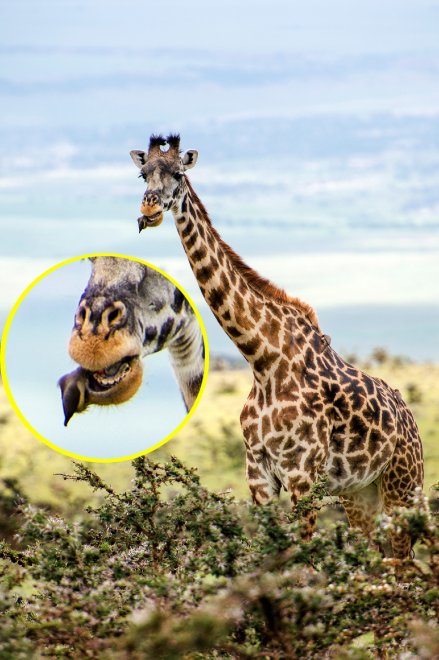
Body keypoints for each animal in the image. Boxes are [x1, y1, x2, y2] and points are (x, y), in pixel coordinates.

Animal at [129, 134, 424, 558]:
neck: (262, 357)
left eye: (179, 174)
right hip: (361, 492)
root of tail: (410, 419)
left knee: (402, 561)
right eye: (143, 174)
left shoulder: (303, 474)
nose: (149, 210)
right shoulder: (259, 475)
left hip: (403, 484)